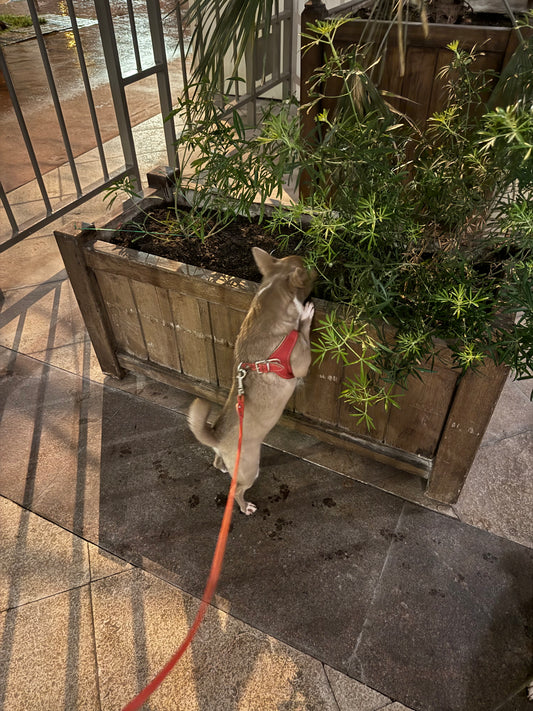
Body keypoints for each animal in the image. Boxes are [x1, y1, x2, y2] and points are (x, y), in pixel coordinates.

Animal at [187, 248, 314, 516]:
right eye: (311, 270)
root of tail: (216, 437)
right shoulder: (301, 362)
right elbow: (303, 332)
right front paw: (306, 315)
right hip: (250, 468)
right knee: (236, 490)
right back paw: (245, 507)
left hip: (229, 460)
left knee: (218, 462)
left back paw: (222, 466)